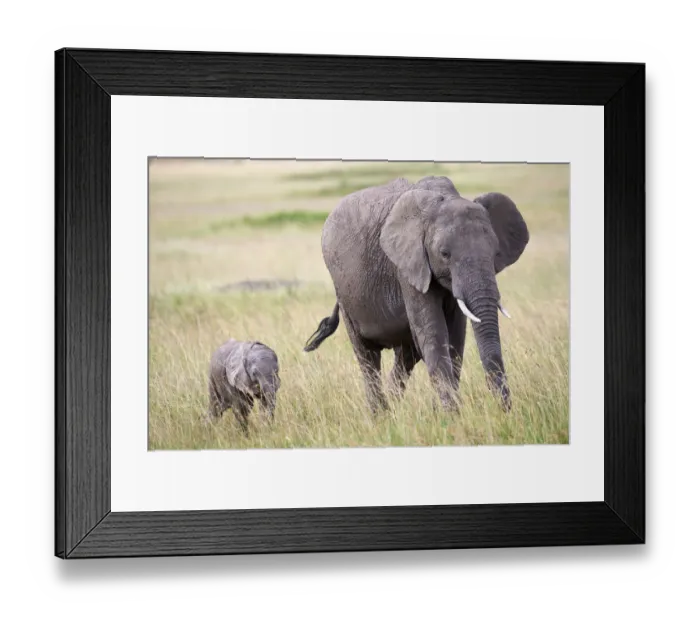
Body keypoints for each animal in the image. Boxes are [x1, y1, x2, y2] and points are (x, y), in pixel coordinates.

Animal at [303, 175, 529, 413]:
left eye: (495, 253)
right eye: (444, 254)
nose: (505, 411)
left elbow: (455, 340)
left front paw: (444, 413)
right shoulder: (407, 266)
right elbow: (435, 335)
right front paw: (452, 415)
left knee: (406, 357)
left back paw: (395, 409)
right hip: (345, 296)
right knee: (368, 356)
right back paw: (381, 416)